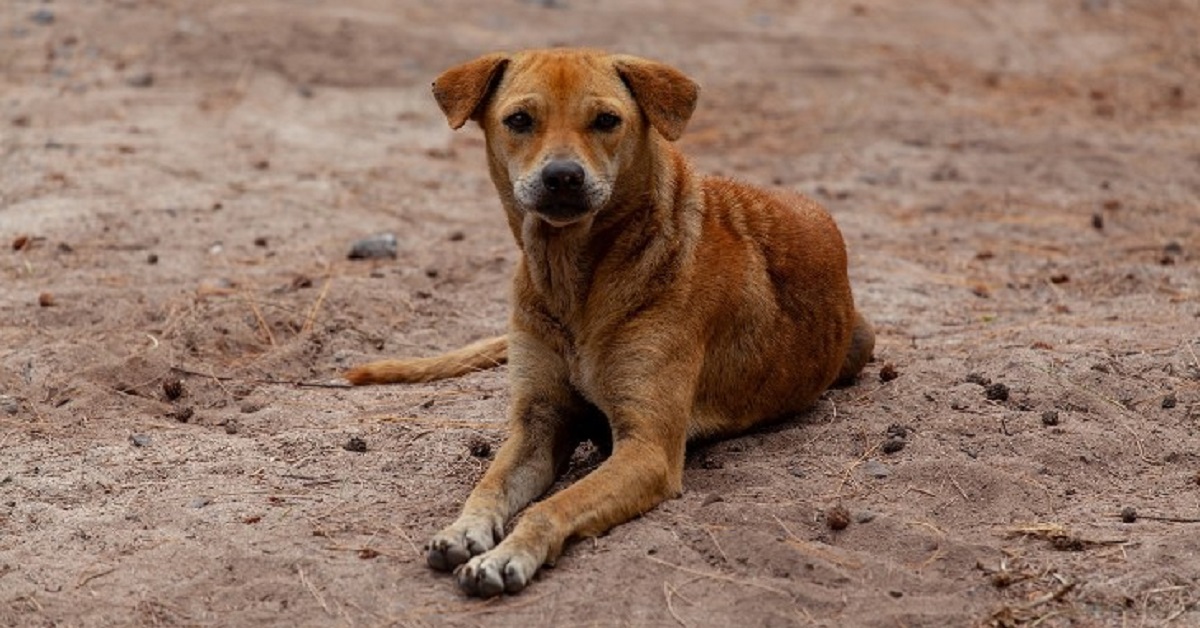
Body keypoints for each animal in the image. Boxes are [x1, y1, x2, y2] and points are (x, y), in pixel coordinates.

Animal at [345, 49, 873, 600]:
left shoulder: (647, 449)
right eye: (519, 120)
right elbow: (488, 485)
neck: (572, 279)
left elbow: (550, 506)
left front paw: (508, 554)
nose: (562, 176)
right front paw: (463, 530)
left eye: (605, 120)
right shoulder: (538, 422)